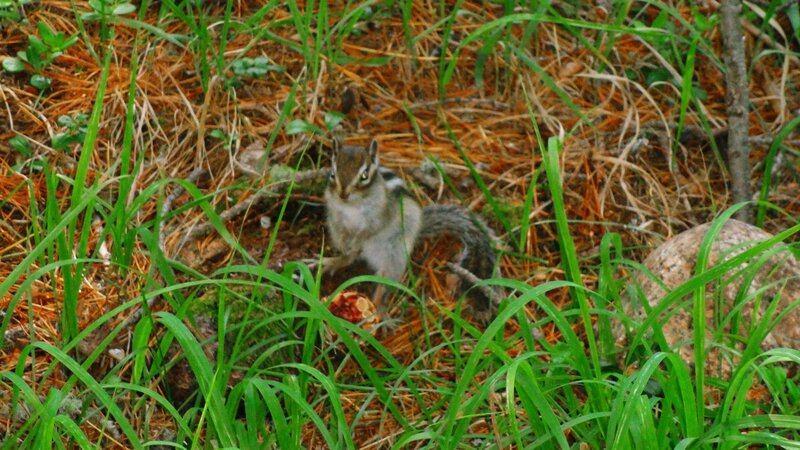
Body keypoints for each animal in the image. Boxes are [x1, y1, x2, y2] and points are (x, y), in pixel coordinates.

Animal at [318, 137, 499, 323]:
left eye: (364, 175)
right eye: (332, 174)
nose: (343, 194)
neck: (352, 206)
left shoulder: (379, 216)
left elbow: (369, 230)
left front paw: (357, 239)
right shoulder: (335, 215)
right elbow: (342, 230)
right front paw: (345, 245)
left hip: (394, 253)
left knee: (384, 279)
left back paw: (380, 312)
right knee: (350, 257)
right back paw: (332, 261)